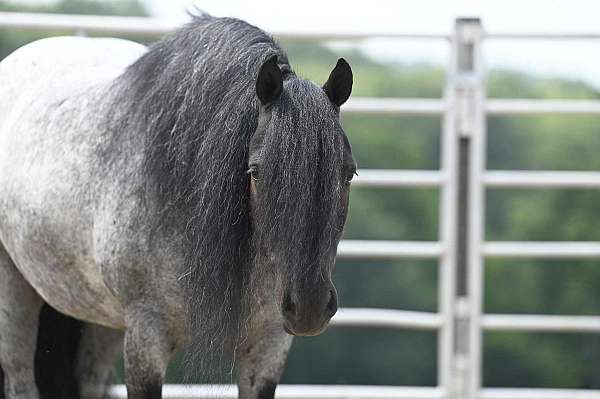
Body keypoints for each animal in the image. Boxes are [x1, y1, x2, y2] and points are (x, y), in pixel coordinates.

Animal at [0, 12, 354, 399]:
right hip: (15, 292)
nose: (309, 306)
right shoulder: (146, 335)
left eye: (348, 173)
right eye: (257, 172)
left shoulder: (268, 345)